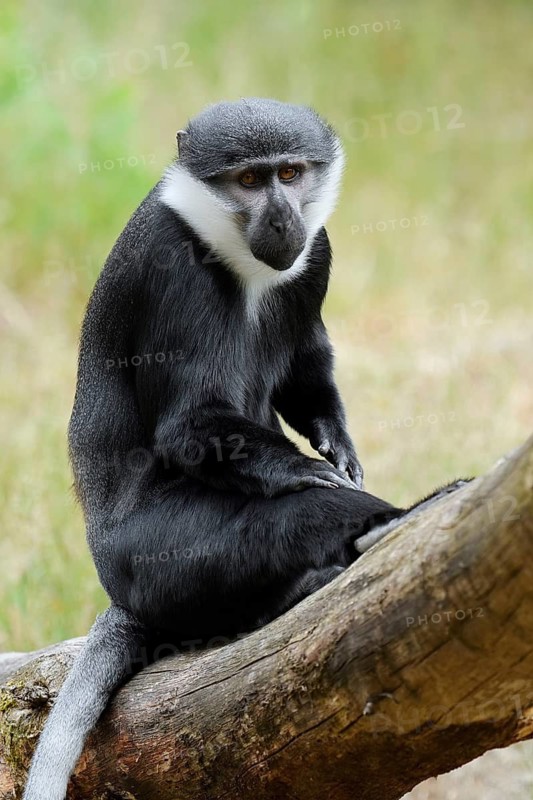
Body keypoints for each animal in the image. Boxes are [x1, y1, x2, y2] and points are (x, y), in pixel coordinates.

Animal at [22, 98, 469, 799]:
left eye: (290, 173)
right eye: (250, 180)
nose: (284, 218)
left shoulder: (317, 253)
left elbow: (306, 362)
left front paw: (338, 448)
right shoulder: (176, 267)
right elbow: (192, 424)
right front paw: (314, 474)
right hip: (151, 562)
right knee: (287, 519)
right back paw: (388, 525)